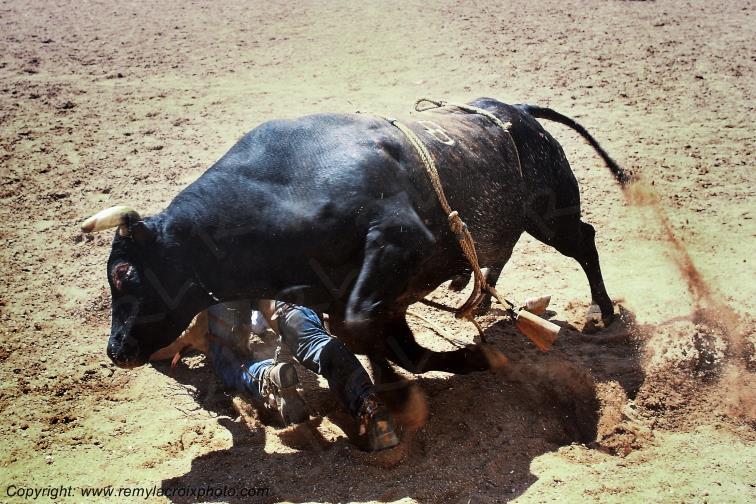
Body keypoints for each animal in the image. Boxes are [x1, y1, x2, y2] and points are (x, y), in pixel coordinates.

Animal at [82, 98, 630, 388]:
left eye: (123, 273)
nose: (115, 349)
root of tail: (515, 110)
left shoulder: (398, 246)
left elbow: (364, 323)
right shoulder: (360, 296)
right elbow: (395, 345)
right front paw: (465, 362)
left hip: (552, 213)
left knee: (584, 241)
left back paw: (603, 311)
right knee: (502, 252)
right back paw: (474, 293)